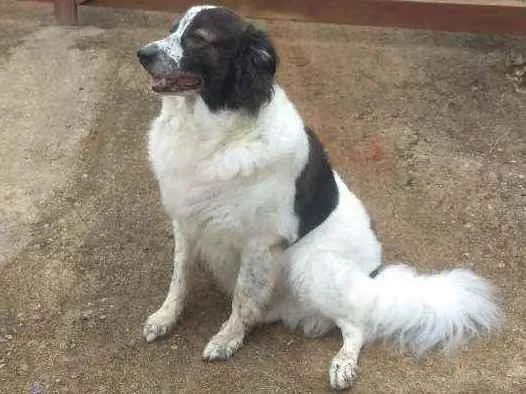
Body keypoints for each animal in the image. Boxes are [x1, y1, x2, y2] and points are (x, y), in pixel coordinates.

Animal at [137, 6, 504, 390]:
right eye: (172, 29)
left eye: (199, 38)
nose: (142, 54)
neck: (216, 134)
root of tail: (372, 279)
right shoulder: (185, 221)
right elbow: (179, 279)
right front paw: (165, 318)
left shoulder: (260, 242)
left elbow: (242, 298)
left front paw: (227, 339)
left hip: (310, 265)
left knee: (358, 323)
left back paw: (343, 364)